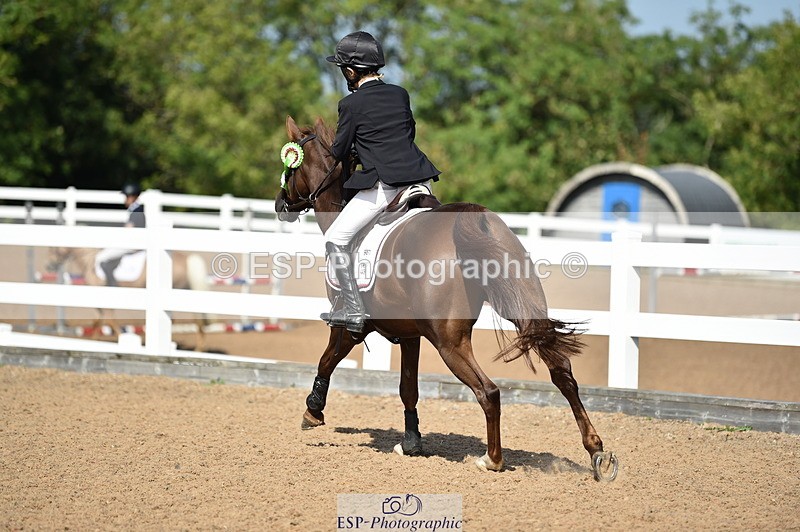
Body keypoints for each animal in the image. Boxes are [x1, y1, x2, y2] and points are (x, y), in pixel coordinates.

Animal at [48, 246, 209, 351]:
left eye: (54, 249)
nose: (50, 266)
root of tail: (186, 258)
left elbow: (107, 320)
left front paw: (121, 338)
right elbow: (100, 320)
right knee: (194, 319)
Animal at [275, 116, 618, 481]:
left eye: (290, 167)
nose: (280, 204)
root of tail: (477, 219)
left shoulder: (351, 325)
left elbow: (327, 360)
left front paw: (313, 411)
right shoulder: (410, 334)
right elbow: (408, 387)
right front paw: (411, 442)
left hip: (449, 342)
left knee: (489, 391)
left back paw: (492, 459)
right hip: (520, 311)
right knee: (562, 373)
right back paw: (596, 452)